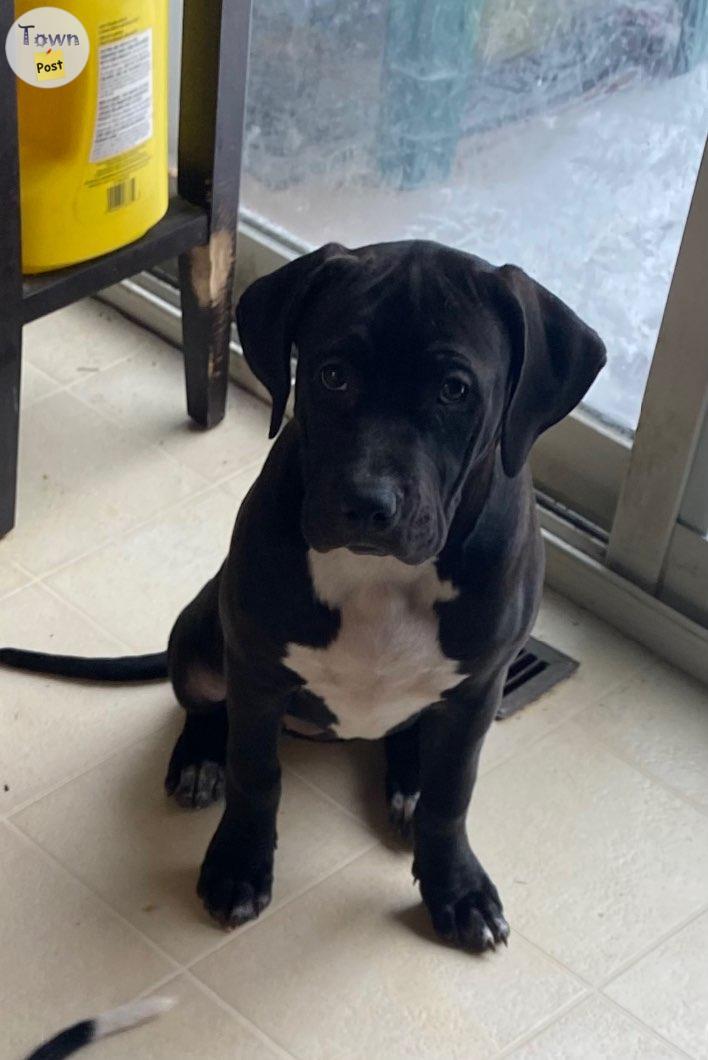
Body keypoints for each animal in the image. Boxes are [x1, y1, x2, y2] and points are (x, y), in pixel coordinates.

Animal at [2, 242, 606, 953]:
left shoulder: (480, 686)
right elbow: (256, 774)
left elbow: (453, 793)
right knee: (204, 704)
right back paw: (200, 759)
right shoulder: (258, 669)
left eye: (455, 390)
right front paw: (238, 865)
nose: (368, 505)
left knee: (415, 738)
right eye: (333, 375)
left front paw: (457, 888)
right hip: (203, 630)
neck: (382, 578)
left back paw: (408, 782)